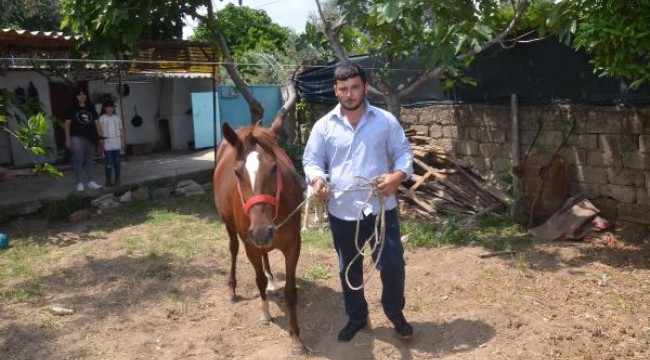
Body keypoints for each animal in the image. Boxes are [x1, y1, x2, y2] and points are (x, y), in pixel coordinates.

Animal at [213, 119, 304, 352]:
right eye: (237, 172)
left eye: (274, 167)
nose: (262, 231)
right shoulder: (251, 245)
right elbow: (258, 280)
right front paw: (265, 314)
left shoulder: (293, 245)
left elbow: (291, 291)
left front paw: (296, 338)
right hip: (231, 226)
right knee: (233, 249)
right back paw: (232, 290)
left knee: (266, 255)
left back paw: (272, 282)